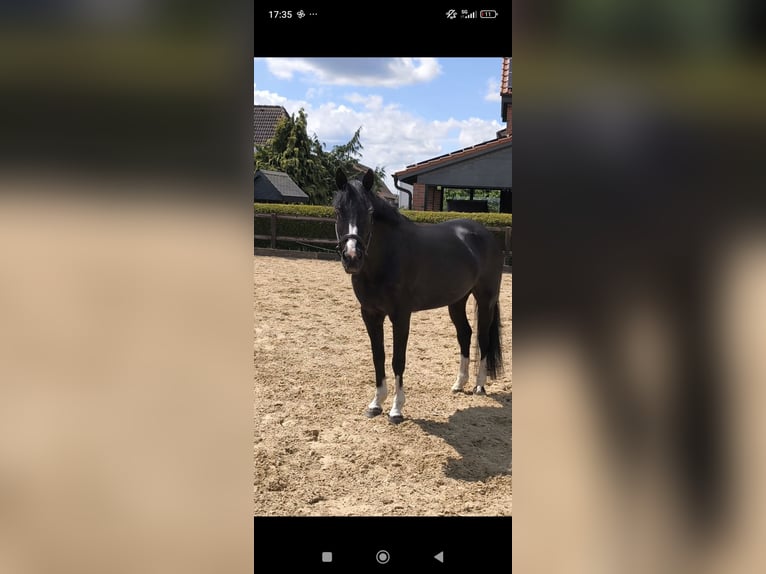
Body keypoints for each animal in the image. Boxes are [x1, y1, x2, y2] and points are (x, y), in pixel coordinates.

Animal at [333, 167, 505, 424]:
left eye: (370, 212)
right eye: (338, 210)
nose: (352, 257)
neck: (387, 257)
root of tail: (486, 235)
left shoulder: (401, 315)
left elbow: (398, 360)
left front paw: (396, 409)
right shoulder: (370, 314)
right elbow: (378, 356)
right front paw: (376, 404)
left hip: (486, 300)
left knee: (482, 339)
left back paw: (479, 386)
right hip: (457, 301)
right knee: (465, 334)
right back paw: (459, 384)